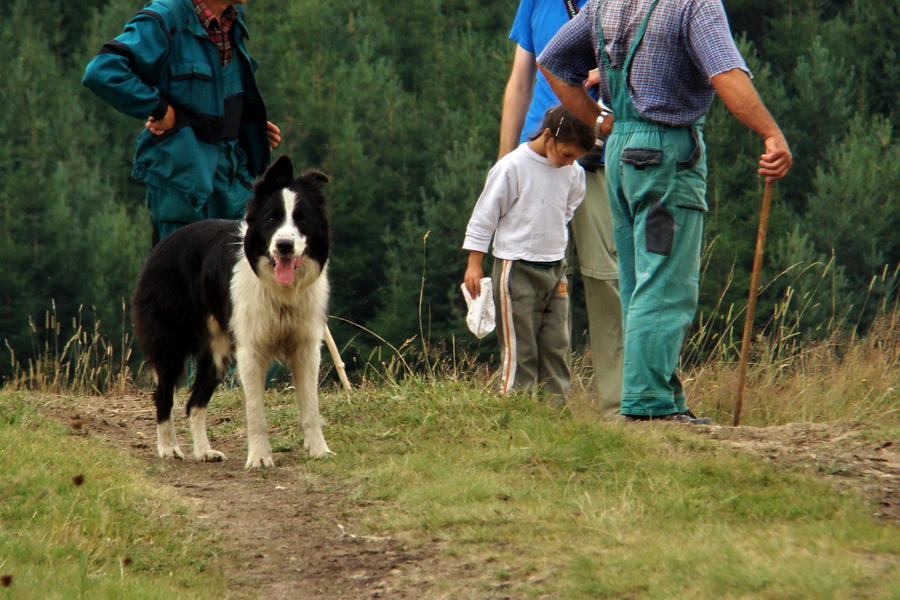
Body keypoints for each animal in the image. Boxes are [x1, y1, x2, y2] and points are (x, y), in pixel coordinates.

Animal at [132, 155, 332, 468]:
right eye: (272, 219)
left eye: (302, 219)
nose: (284, 246)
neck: (281, 290)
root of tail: (164, 244)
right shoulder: (251, 350)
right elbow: (256, 412)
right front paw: (260, 457)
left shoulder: (306, 347)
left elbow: (311, 406)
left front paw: (319, 450)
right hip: (171, 344)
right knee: (163, 396)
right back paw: (168, 448)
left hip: (218, 352)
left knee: (194, 402)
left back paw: (204, 451)